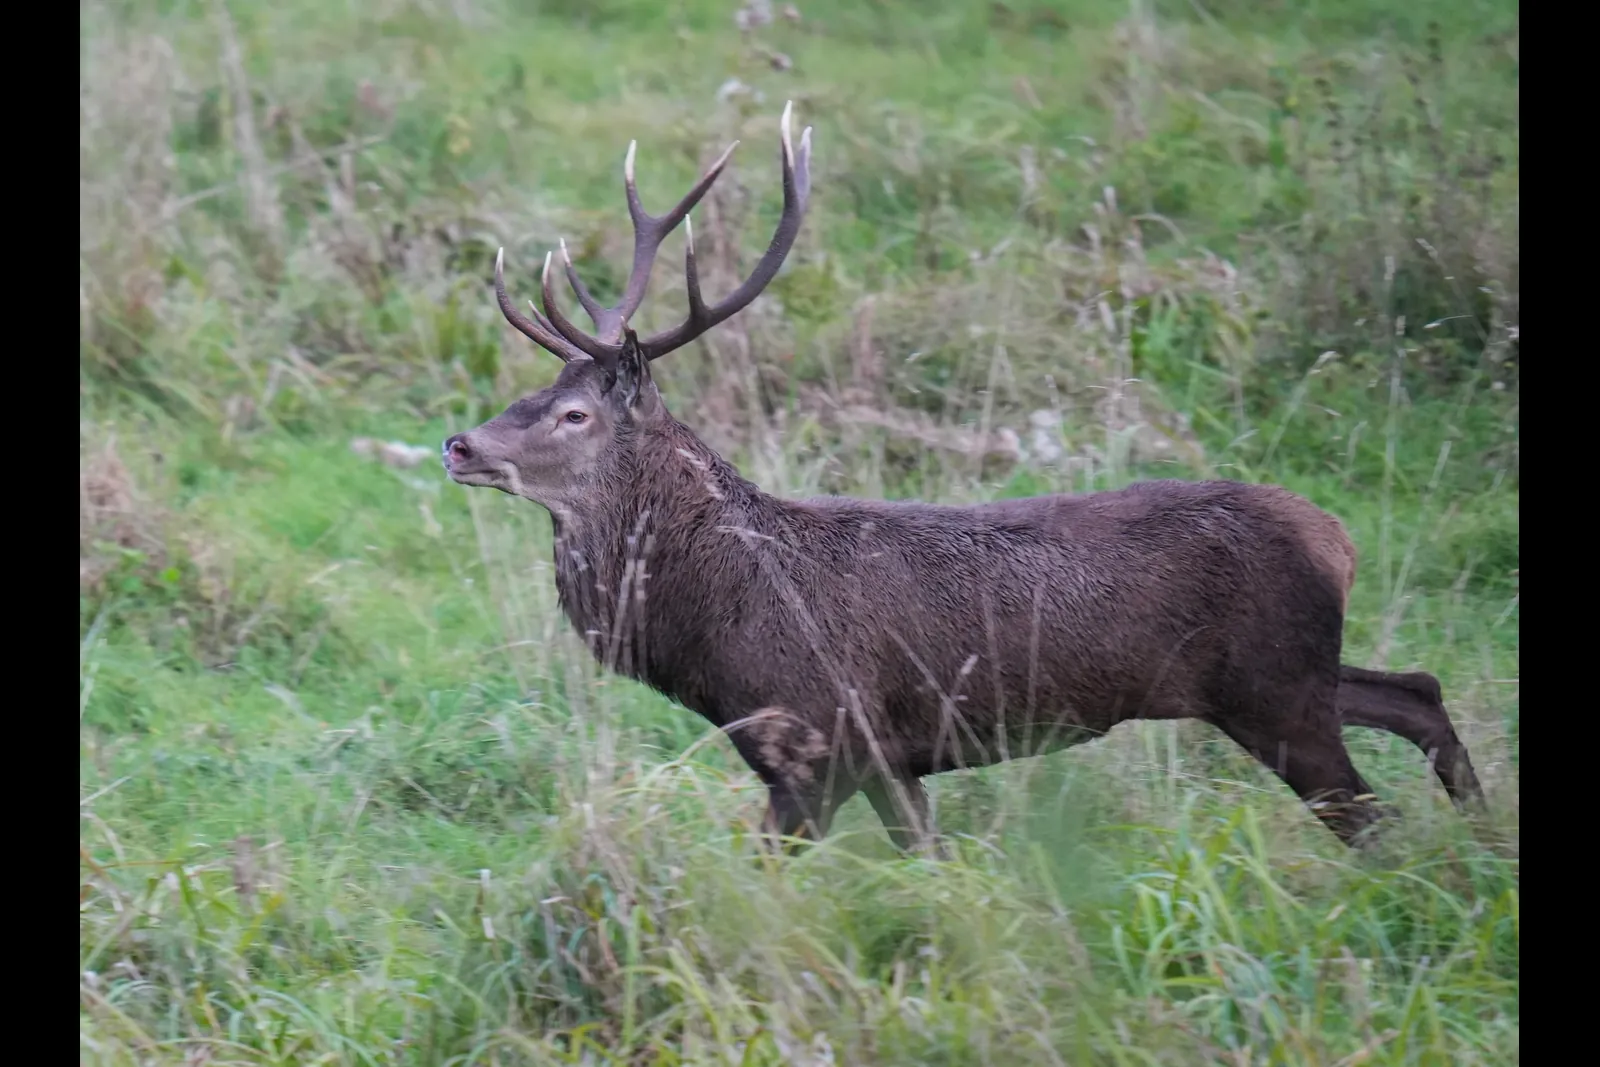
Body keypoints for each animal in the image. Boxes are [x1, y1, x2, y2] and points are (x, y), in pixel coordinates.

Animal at [442, 104, 1486, 853]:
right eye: (534, 390)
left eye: (575, 415)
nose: (459, 444)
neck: (713, 626)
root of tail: (1339, 538)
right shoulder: (870, 758)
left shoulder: (827, 740)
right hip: (1286, 675)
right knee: (1418, 688)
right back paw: (1482, 837)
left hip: (1274, 693)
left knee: (1376, 817)